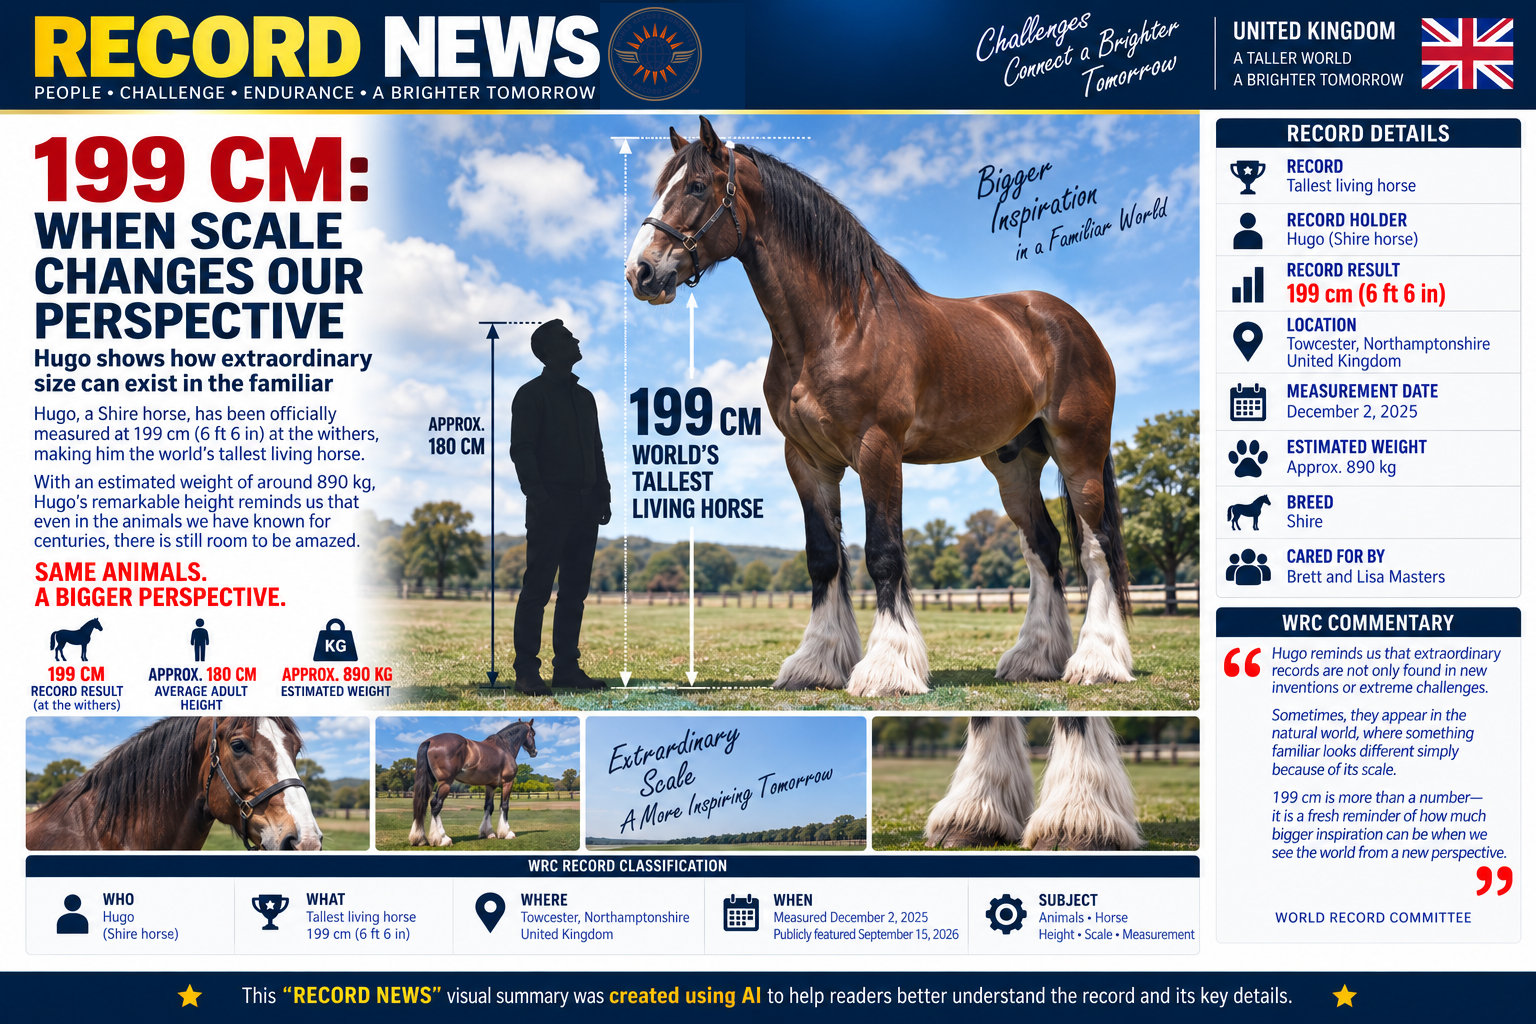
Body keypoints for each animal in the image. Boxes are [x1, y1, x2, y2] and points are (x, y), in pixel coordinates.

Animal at [410, 719, 537, 847]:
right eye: (533, 734)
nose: (534, 752)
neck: (505, 747)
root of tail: (430, 741)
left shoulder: (490, 786)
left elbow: (489, 807)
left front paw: (488, 833)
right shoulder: (508, 782)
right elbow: (504, 805)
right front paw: (506, 833)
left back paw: (419, 838)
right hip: (445, 783)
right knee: (436, 805)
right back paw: (442, 839)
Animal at [626, 117, 1133, 695]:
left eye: (695, 187)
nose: (640, 272)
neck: (839, 324)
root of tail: (1068, 321)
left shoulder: (878, 451)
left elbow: (883, 554)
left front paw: (888, 668)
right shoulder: (807, 460)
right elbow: (824, 557)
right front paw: (817, 662)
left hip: (1079, 451)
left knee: (1095, 546)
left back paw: (1097, 661)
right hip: (1015, 462)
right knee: (1043, 547)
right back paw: (1034, 658)